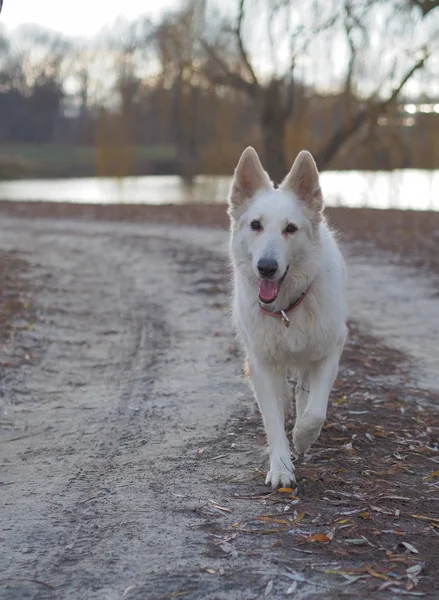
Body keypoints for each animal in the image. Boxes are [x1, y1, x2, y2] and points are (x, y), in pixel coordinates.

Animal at [230, 148, 348, 490]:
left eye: (290, 229)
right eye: (256, 225)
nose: (266, 267)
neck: (286, 308)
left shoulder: (330, 351)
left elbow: (315, 412)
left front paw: (302, 438)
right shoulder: (261, 363)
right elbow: (272, 421)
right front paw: (281, 467)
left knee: (304, 391)